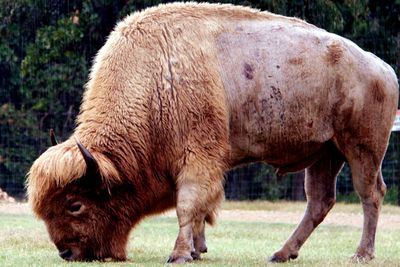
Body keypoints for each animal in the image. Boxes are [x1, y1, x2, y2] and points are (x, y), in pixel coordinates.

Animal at [26, 2, 398, 264]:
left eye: (75, 205)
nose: (67, 253)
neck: (158, 76)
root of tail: (382, 67)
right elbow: (200, 210)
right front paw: (197, 249)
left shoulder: (198, 157)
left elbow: (188, 204)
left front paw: (179, 254)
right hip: (325, 153)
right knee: (320, 201)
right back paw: (281, 254)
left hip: (361, 149)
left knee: (370, 194)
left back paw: (361, 254)